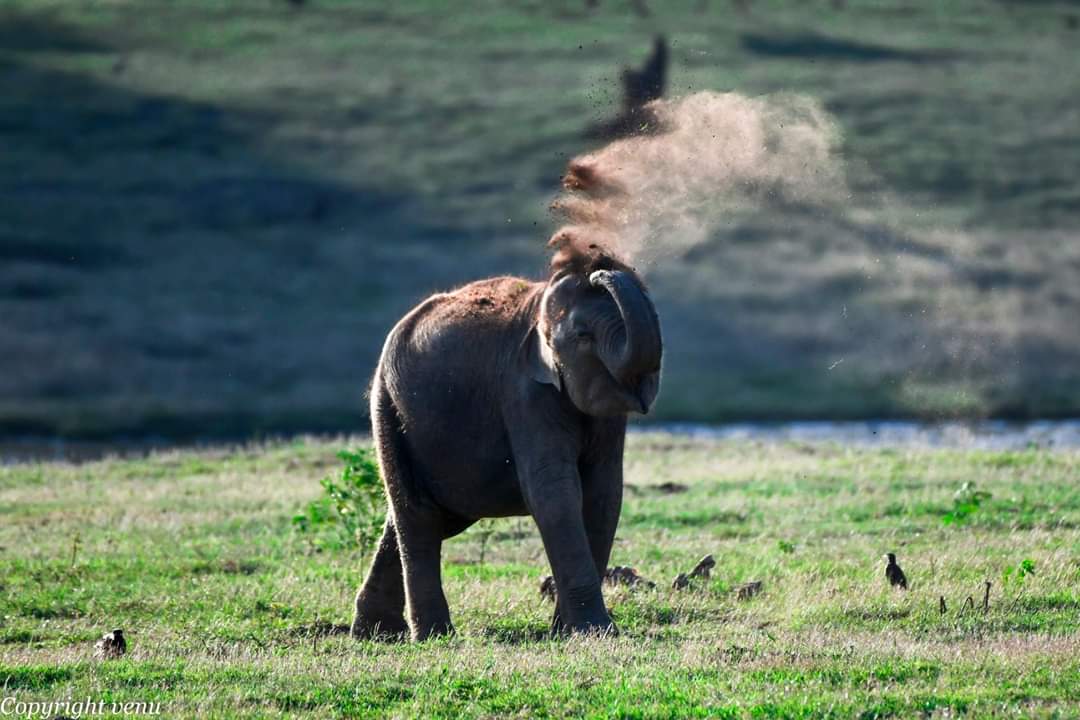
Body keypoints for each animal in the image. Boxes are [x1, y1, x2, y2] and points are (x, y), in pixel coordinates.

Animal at [349, 240, 660, 643]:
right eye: (582, 335)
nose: (599, 268)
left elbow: (604, 493)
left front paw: (571, 631)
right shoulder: (522, 392)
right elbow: (554, 493)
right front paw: (594, 631)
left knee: (431, 517)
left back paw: (375, 632)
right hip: (388, 409)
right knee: (416, 514)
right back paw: (433, 635)